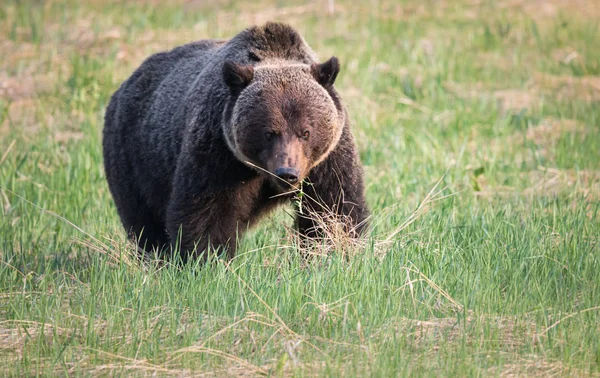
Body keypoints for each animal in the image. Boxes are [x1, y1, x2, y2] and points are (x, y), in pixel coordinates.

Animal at [101, 21, 368, 262]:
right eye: (269, 133)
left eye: (306, 132)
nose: (287, 173)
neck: (260, 173)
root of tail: (126, 83)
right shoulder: (218, 153)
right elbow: (207, 212)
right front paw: (205, 260)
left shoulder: (326, 161)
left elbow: (333, 209)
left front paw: (332, 253)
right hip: (135, 160)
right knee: (145, 223)